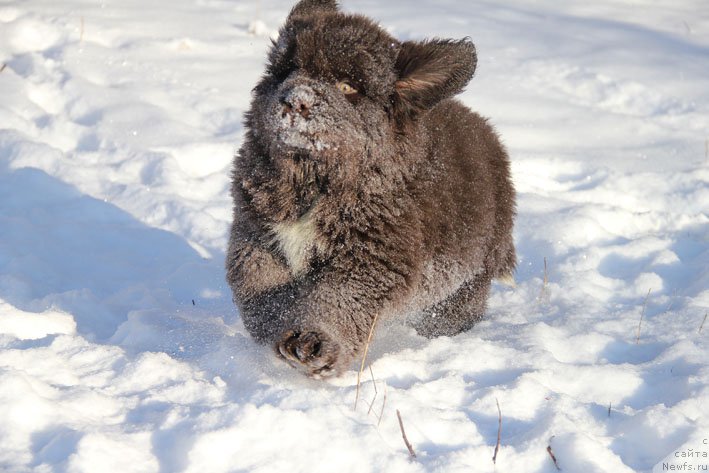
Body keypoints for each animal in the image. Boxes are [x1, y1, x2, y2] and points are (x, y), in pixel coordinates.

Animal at [227, 0, 516, 376]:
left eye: (348, 86)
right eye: (289, 69)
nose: (295, 101)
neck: (316, 182)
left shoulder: (371, 260)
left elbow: (338, 301)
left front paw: (314, 341)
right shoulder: (258, 237)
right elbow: (262, 291)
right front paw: (276, 327)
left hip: (465, 283)